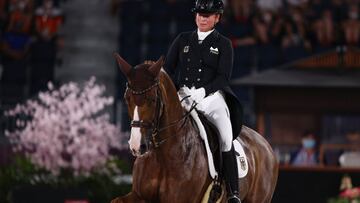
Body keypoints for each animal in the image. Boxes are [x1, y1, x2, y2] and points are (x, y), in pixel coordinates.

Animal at [111, 54, 280, 203]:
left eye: (152, 99)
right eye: (127, 98)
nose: (136, 146)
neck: (163, 155)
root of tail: (265, 145)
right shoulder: (139, 195)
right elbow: (116, 200)